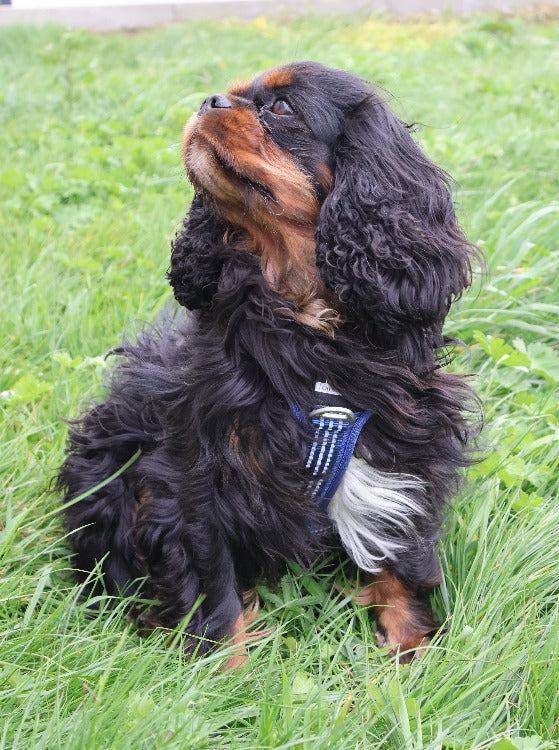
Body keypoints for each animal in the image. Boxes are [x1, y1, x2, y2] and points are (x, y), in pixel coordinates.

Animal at [60, 63, 482, 664]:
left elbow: (404, 558)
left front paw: (416, 653)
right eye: (236, 94)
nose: (211, 100)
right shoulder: (194, 474)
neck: (306, 322)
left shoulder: (405, 442)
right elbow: (212, 583)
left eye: (282, 109)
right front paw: (224, 672)